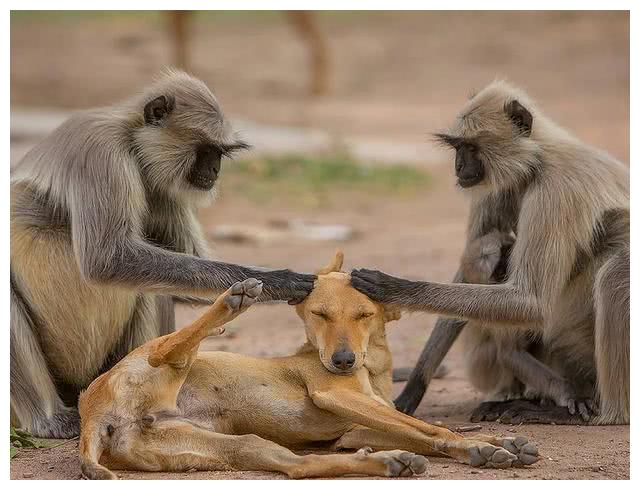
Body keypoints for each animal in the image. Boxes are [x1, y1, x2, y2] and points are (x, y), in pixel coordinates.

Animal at [11, 68, 316, 436]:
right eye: (206, 150)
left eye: (220, 153)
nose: (215, 171)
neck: (131, 142)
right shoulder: (99, 149)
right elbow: (107, 260)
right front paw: (279, 279)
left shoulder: (161, 185)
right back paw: (50, 419)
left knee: (154, 287)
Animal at [79, 253, 540, 478]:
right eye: (319, 314)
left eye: (364, 315)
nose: (342, 360)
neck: (372, 371)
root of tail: (94, 413)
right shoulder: (335, 395)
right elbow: (431, 429)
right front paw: (479, 446)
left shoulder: (351, 431)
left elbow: (419, 431)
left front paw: (498, 444)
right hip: (159, 360)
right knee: (169, 350)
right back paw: (233, 299)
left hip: (234, 446)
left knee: (297, 468)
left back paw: (387, 463)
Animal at [356, 80, 632, 424]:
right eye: (457, 148)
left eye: (471, 148)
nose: (459, 166)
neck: (536, 161)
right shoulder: (502, 188)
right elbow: (467, 274)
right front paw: (413, 388)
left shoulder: (557, 190)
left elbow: (531, 300)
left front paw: (395, 288)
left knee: (616, 272)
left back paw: (604, 413)